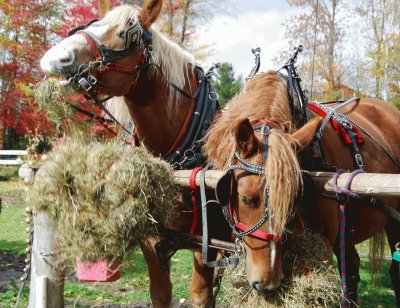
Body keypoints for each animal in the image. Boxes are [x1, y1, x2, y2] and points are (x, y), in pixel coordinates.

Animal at [39, 1, 231, 306]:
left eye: (125, 34)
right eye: (89, 25)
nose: (53, 58)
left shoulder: (206, 246)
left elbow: (200, 296)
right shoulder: (151, 242)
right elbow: (161, 294)